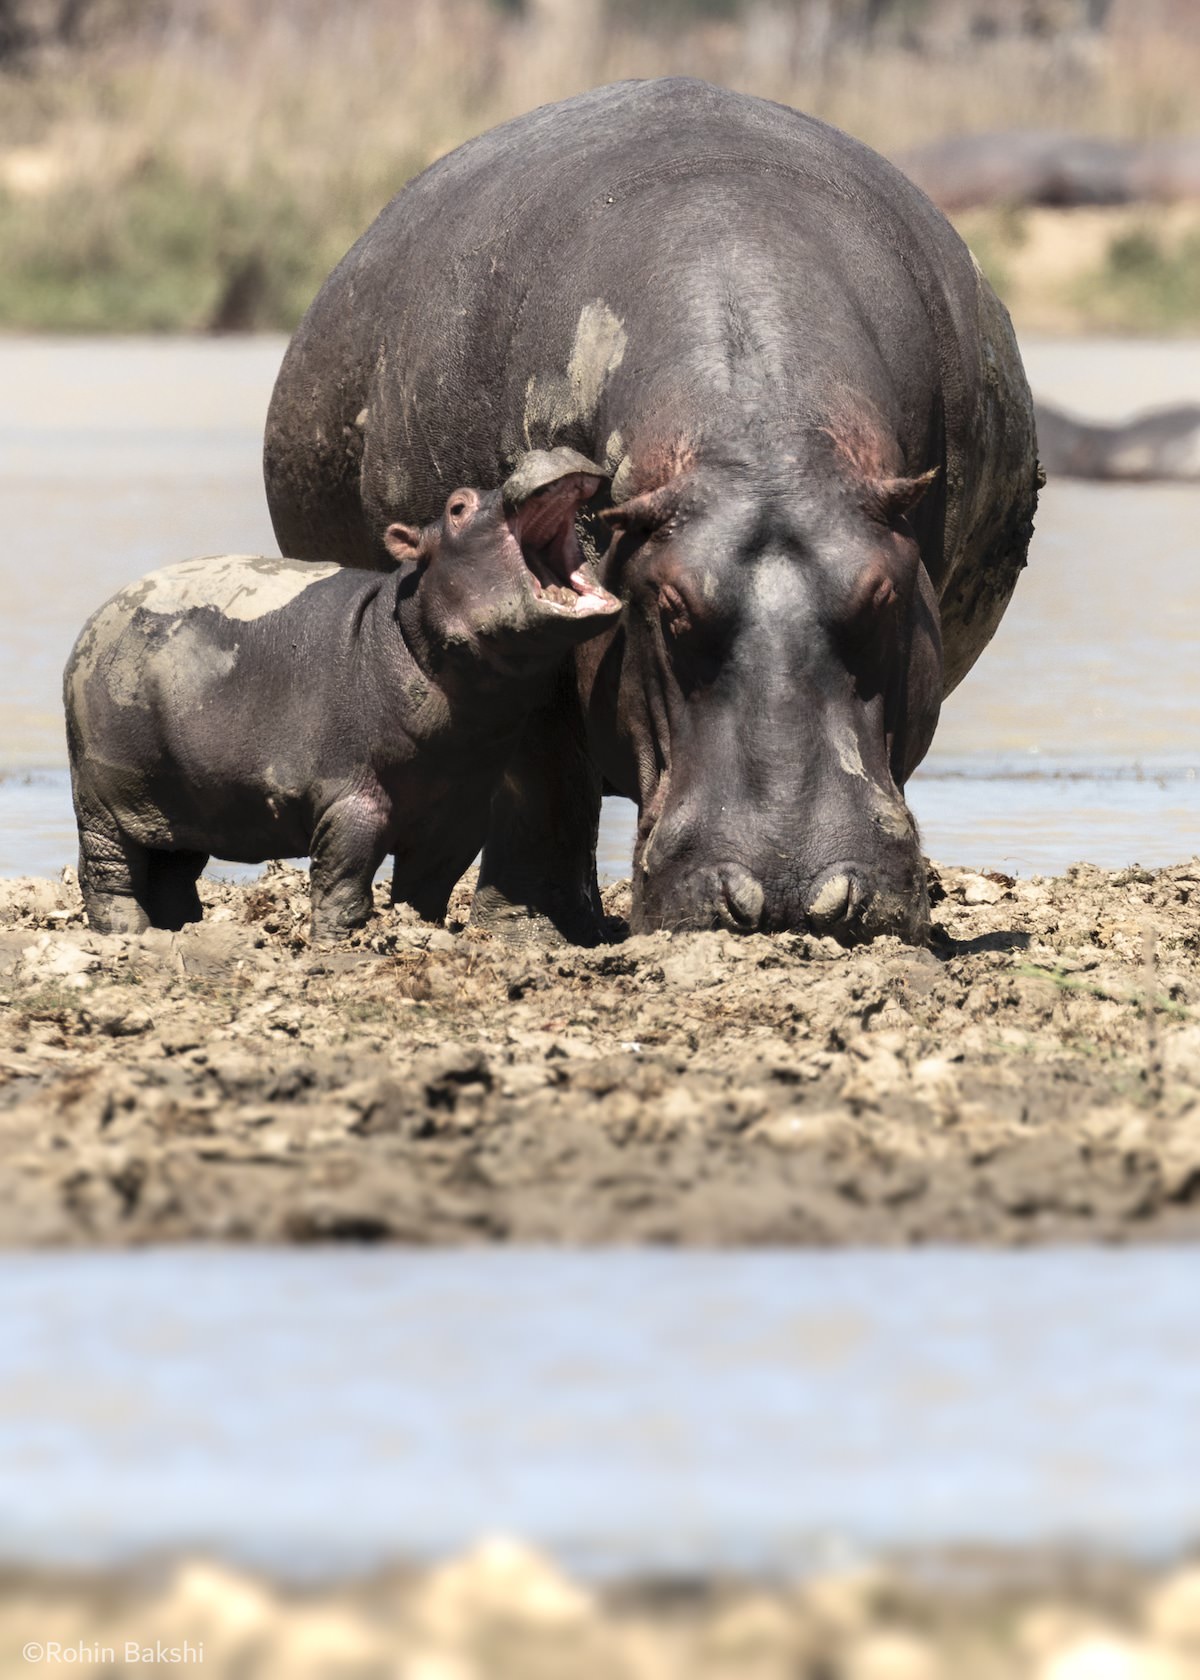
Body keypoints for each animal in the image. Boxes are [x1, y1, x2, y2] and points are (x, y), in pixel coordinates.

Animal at [64, 446, 618, 940]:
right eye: (457, 507)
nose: (546, 450)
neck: (402, 628)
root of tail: (94, 621)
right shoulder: (351, 798)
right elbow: (343, 878)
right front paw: (340, 943)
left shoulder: (459, 813)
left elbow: (427, 888)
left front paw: (420, 929)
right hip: (104, 798)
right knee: (108, 874)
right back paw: (127, 936)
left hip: (185, 800)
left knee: (171, 872)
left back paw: (179, 929)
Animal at [263, 78, 1035, 947]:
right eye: (668, 607)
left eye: (884, 596)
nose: (792, 893)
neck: (759, 449)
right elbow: (540, 769)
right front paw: (528, 928)